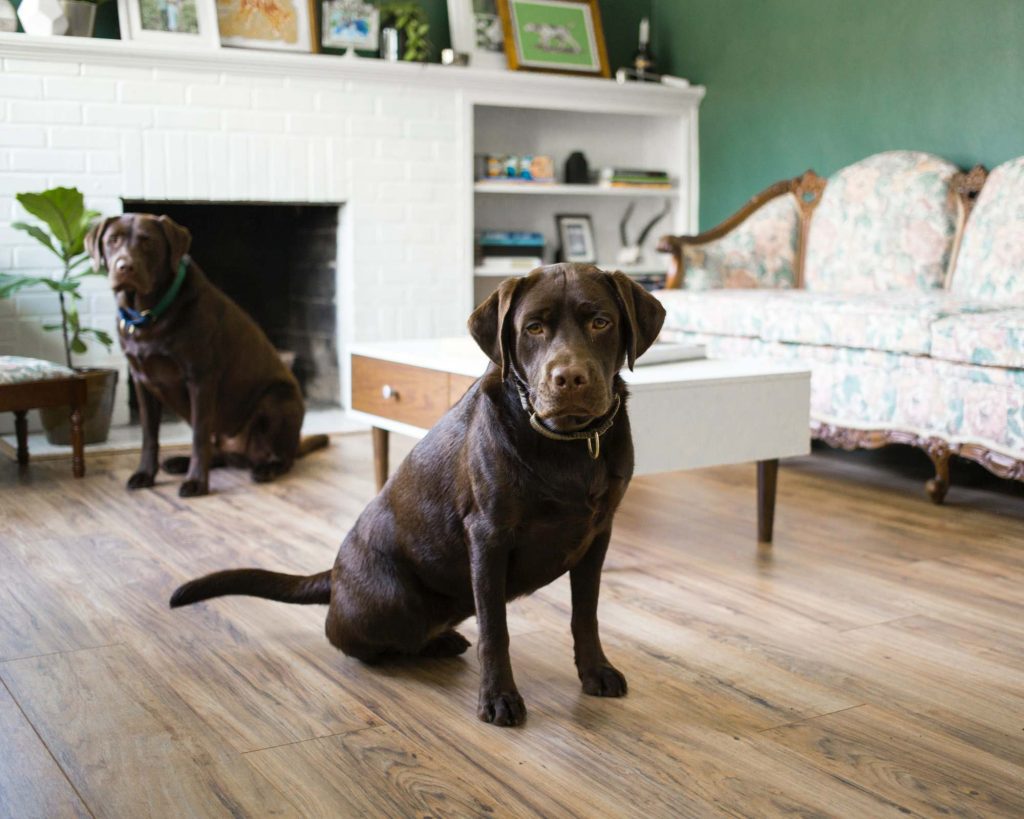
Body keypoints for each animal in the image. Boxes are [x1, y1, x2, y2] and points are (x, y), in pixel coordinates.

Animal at [89, 213, 327, 495]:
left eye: (148, 242)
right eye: (113, 240)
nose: (125, 267)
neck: (147, 315)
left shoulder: (200, 379)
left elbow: (198, 437)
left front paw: (196, 483)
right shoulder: (141, 382)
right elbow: (149, 436)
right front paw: (144, 474)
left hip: (277, 401)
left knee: (281, 458)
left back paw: (266, 469)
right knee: (220, 453)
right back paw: (179, 462)